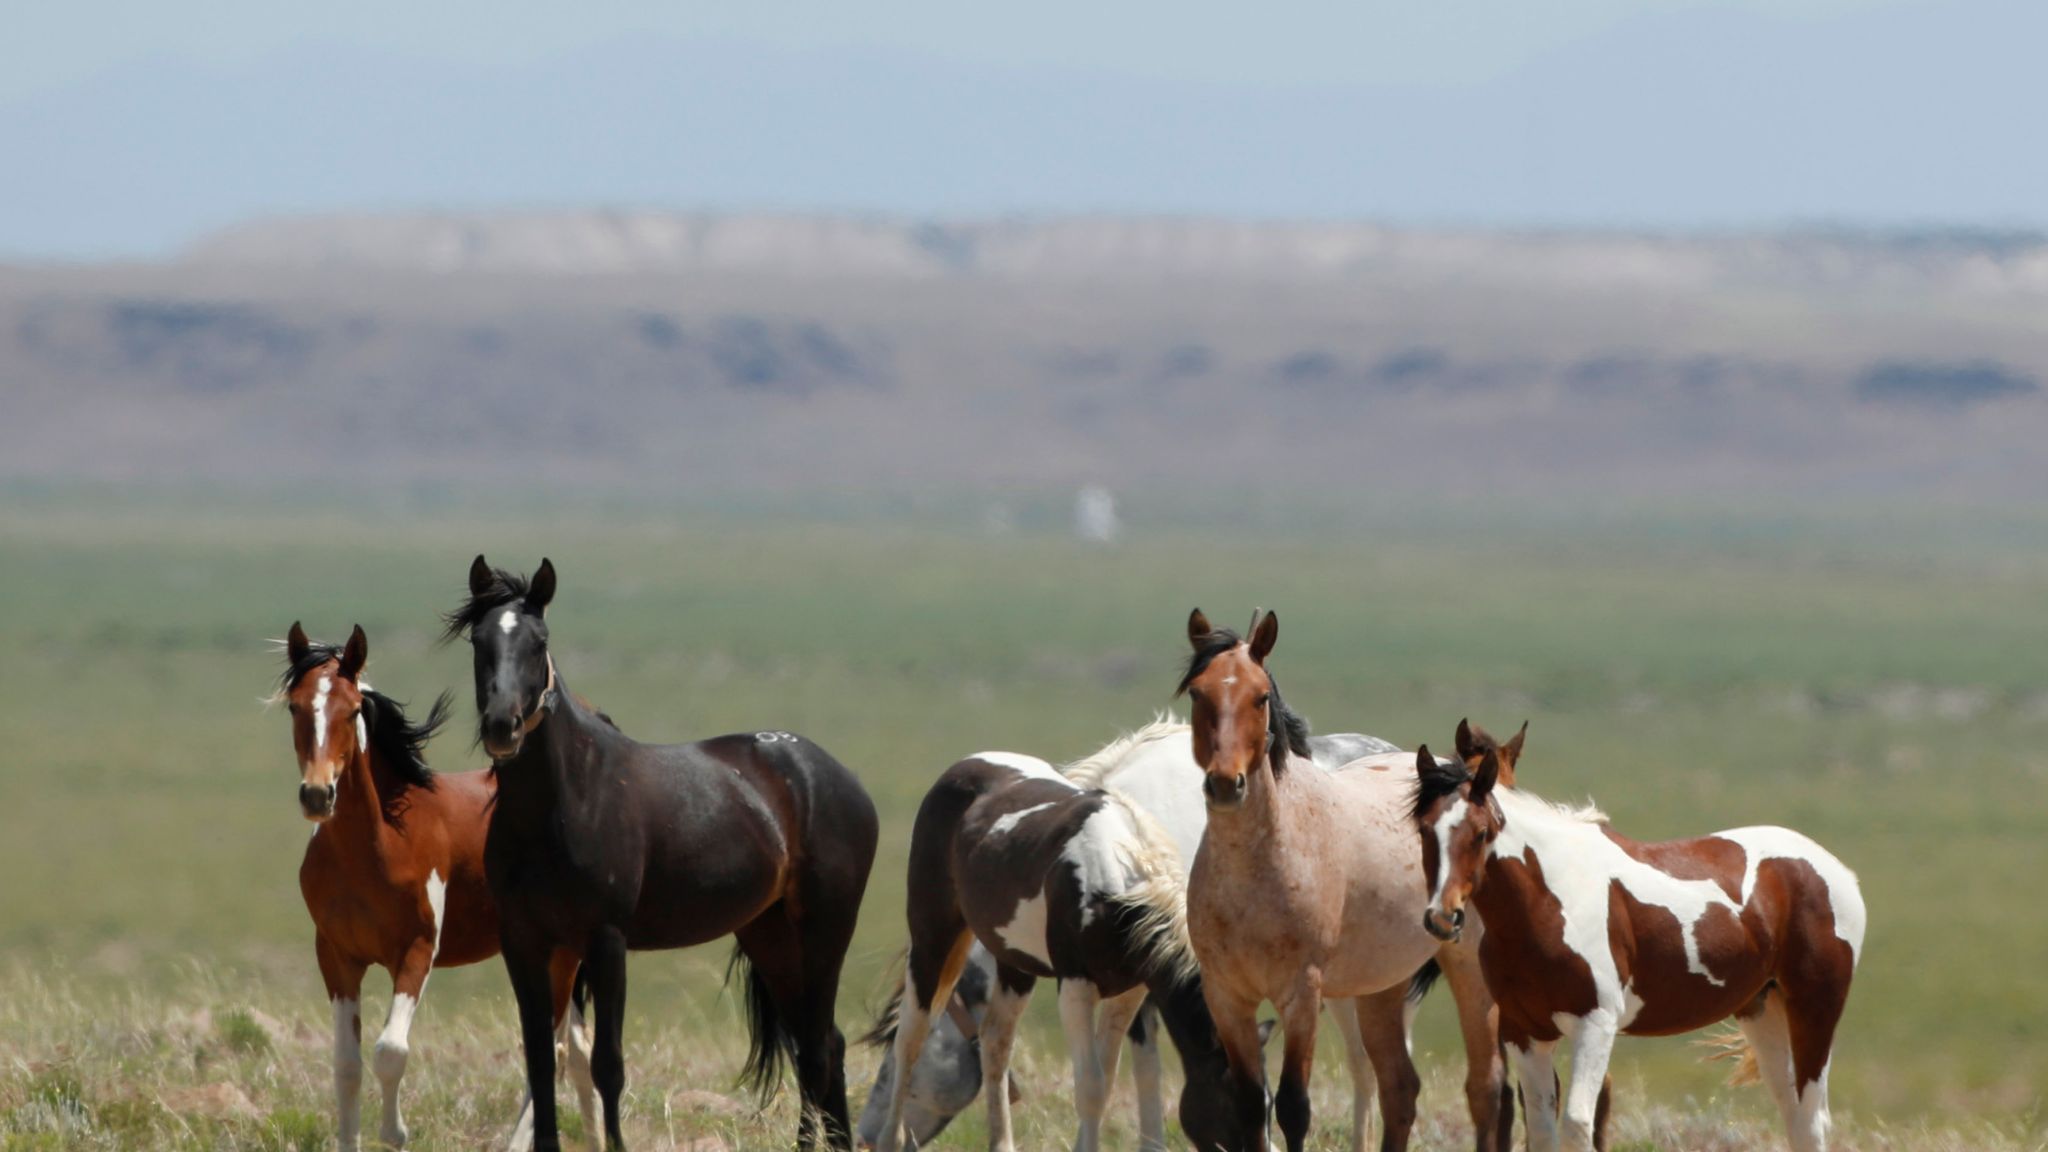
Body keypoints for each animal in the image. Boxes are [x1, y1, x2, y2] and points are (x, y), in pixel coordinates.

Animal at [272, 623, 598, 1147]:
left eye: (353, 708)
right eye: (295, 707)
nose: (318, 795)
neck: (380, 845)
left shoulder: (417, 951)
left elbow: (390, 1050)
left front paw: (396, 1132)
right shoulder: (337, 957)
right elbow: (347, 1065)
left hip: (561, 957)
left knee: (554, 1053)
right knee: (580, 1054)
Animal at [448, 557, 880, 1147]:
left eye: (539, 642)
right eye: (479, 640)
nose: (502, 725)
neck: (565, 801)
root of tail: (843, 779)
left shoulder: (606, 940)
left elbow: (607, 1066)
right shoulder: (524, 941)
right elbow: (540, 1061)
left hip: (824, 929)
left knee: (815, 1050)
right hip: (770, 936)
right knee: (825, 1046)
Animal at [868, 746, 1236, 1147]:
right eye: (1232, 1109)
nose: (863, 1136)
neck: (1118, 878)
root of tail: (967, 764)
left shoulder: (1130, 992)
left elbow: (1108, 1081)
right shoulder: (1077, 988)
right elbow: (1091, 1088)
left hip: (1014, 964)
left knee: (995, 1041)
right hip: (932, 940)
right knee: (911, 1035)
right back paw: (890, 1139)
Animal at [1171, 606, 1523, 1139]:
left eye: (1259, 696)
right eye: (1198, 693)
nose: (1225, 784)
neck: (1254, 870)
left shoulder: (1301, 995)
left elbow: (1294, 1107)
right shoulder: (1227, 996)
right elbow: (1251, 1105)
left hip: (1469, 972)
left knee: (1487, 1089)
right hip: (1381, 986)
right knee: (1399, 1087)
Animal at [1417, 717, 1867, 1147]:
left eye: (1480, 833)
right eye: (1423, 829)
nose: (1443, 917)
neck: (1550, 898)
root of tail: (1838, 871)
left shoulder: (1595, 1026)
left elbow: (1578, 1125)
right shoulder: (1524, 1033)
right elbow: (1542, 1130)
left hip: (1814, 1008)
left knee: (1812, 1121)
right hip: (1763, 1008)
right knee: (1794, 1116)